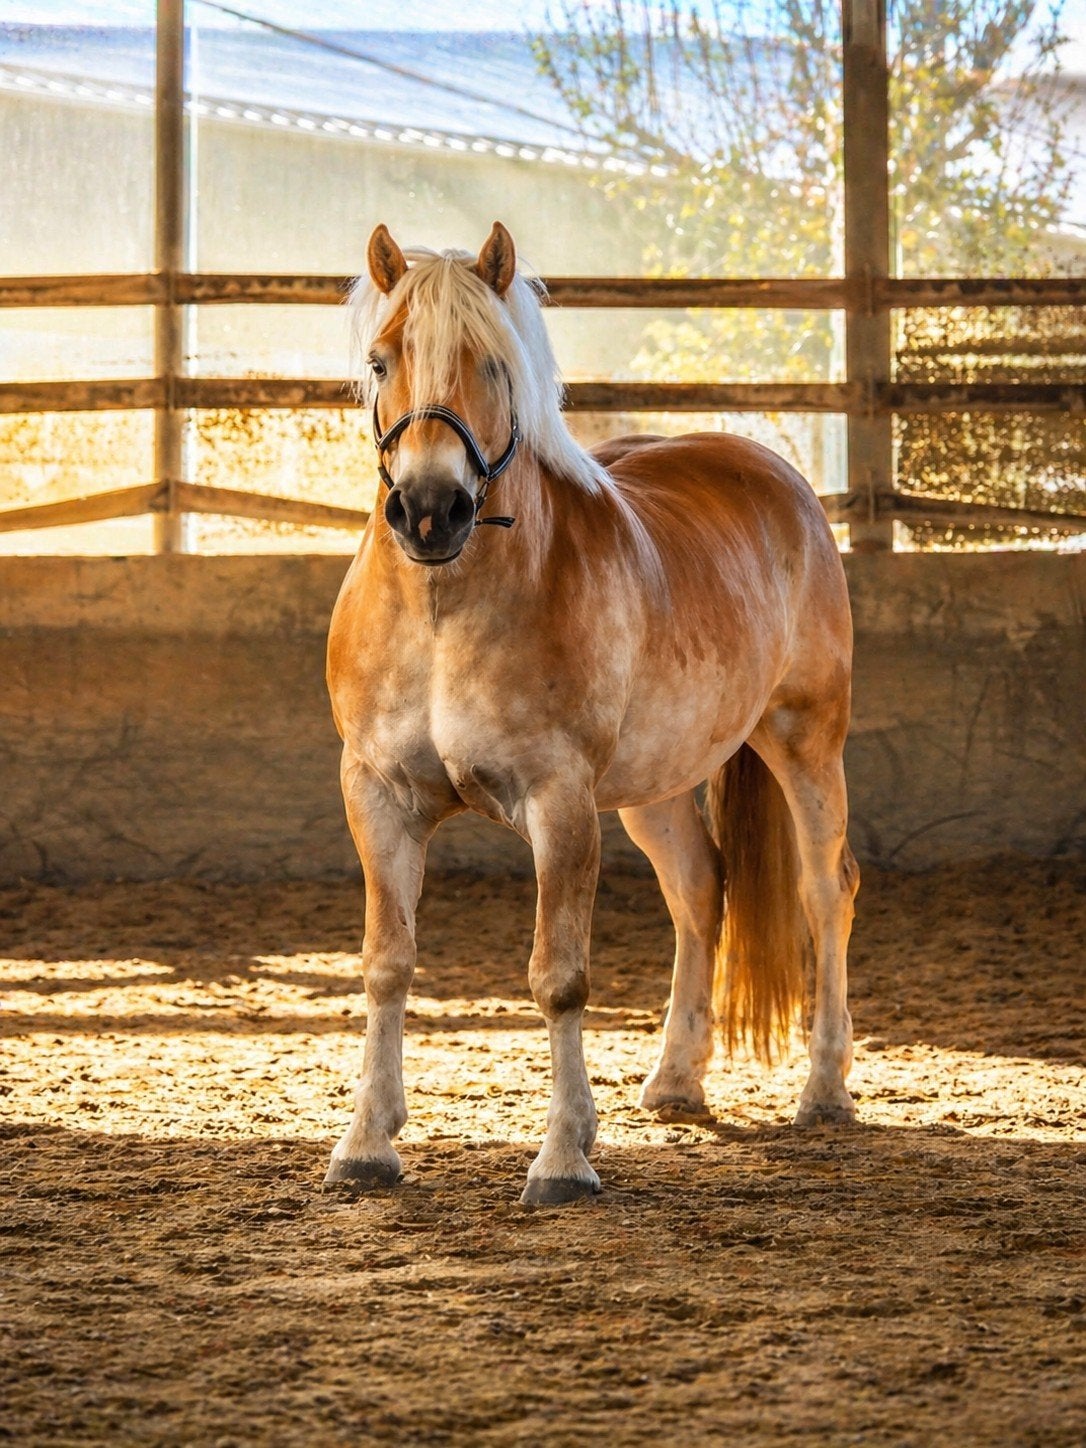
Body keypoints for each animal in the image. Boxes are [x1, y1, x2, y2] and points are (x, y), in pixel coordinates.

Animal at [324, 221, 859, 1205]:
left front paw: (564, 1158)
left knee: (823, 891)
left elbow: (559, 978)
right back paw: (676, 1079)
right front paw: (367, 1145)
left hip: (806, 741)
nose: (429, 510)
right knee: (701, 892)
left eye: (495, 364)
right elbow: (387, 962)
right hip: (657, 788)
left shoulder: (561, 802)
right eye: (381, 362)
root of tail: (778, 477)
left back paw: (825, 1089)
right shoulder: (377, 795)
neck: (446, 611)